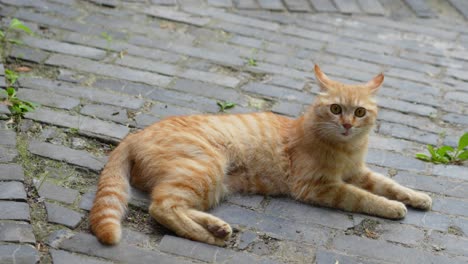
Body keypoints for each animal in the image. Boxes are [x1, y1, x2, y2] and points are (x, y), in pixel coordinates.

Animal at [89, 65, 434, 246]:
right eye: (336, 109)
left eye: (360, 112)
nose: (347, 125)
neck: (346, 148)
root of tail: (134, 134)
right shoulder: (319, 186)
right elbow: (364, 197)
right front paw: (393, 207)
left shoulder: (356, 171)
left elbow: (388, 183)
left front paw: (417, 197)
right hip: (204, 169)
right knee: (161, 207)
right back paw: (210, 237)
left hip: (212, 184)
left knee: (175, 205)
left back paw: (216, 227)